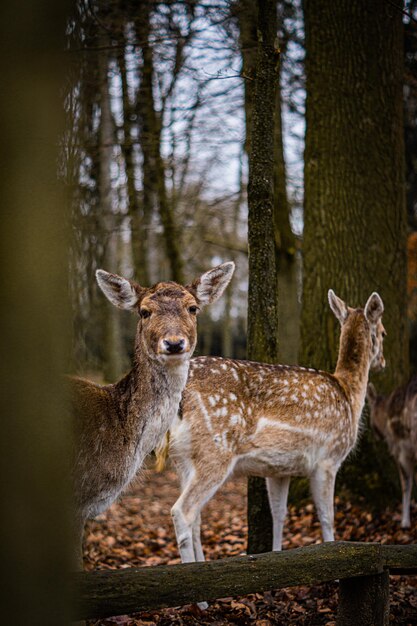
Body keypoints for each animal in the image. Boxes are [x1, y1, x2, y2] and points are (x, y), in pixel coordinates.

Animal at [158, 290, 386, 584]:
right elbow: (327, 515)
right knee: (182, 511)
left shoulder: (278, 469)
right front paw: (336, 569)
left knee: (195, 515)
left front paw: (277, 558)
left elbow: (279, 513)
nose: (383, 362)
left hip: (182, 458)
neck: (349, 395)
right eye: (383, 331)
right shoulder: (327, 459)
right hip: (215, 451)